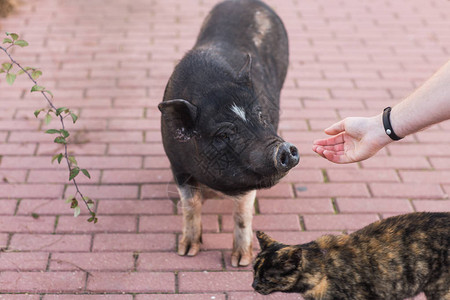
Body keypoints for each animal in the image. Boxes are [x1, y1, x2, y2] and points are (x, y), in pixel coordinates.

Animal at [158, 0, 298, 268]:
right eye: (223, 135)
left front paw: (240, 262)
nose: (285, 148)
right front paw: (186, 252)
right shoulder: (176, 164)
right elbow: (190, 205)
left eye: (261, 116)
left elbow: (242, 214)